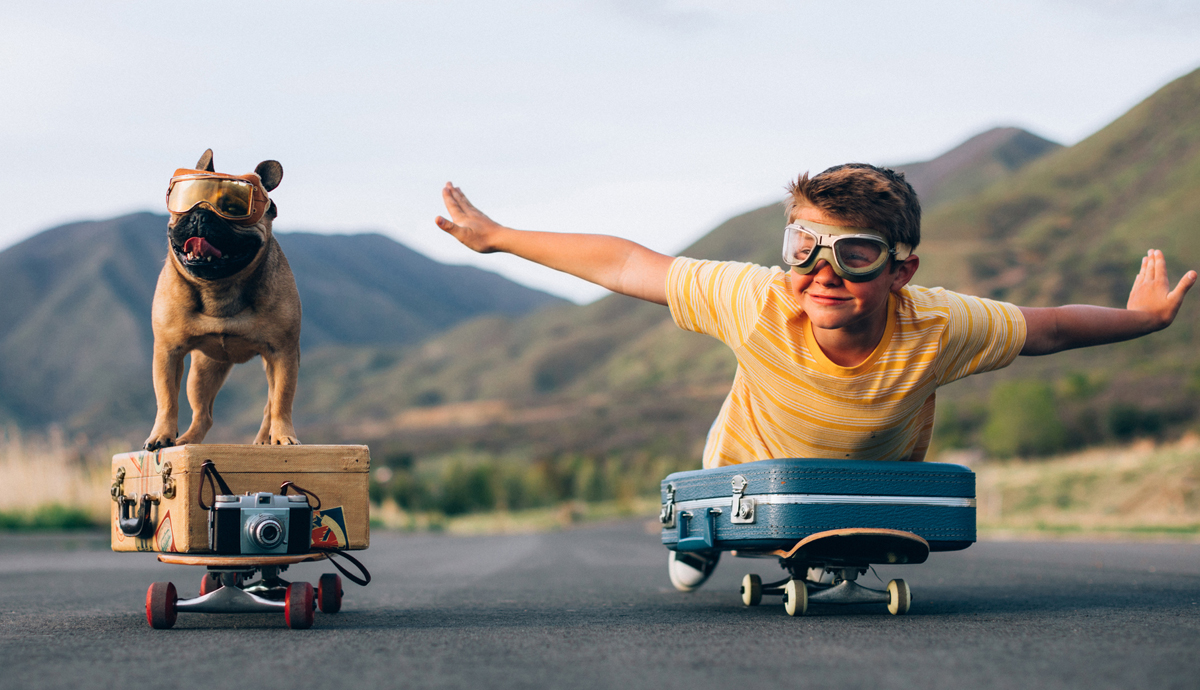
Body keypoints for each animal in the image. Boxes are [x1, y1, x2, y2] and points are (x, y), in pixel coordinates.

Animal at [142, 150, 302, 451]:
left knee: (270, 405)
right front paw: (161, 435)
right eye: (186, 201)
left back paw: (266, 439)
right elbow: (166, 398)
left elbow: (282, 401)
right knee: (203, 414)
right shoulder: (168, 352)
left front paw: (284, 436)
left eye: (233, 208)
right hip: (203, 372)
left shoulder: (283, 354)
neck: (219, 287)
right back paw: (187, 440)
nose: (200, 214)